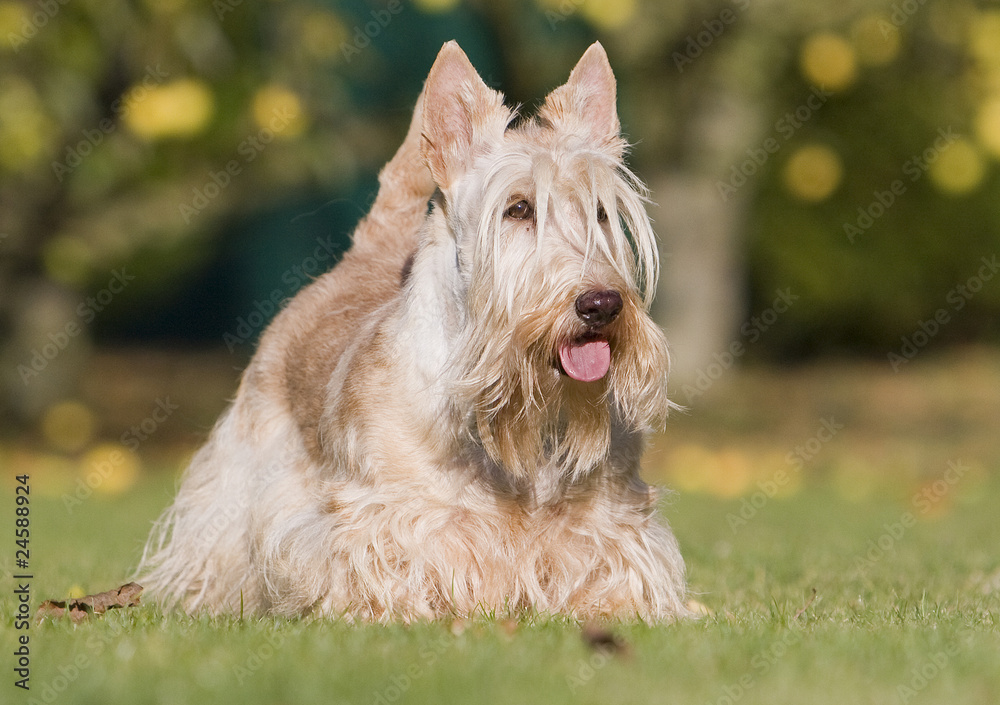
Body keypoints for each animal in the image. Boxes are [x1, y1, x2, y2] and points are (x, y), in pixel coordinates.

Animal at [138, 41, 689, 621]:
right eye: (518, 208)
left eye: (602, 212)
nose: (601, 304)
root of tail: (365, 255)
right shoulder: (388, 516)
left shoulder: (611, 521)